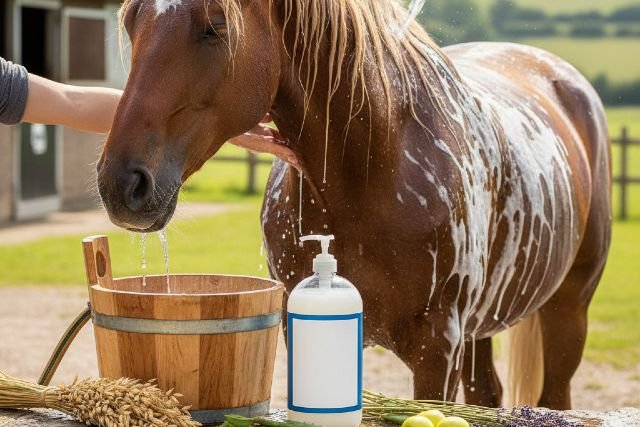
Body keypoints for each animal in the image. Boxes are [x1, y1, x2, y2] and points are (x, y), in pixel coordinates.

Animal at [97, 0, 612, 410]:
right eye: (132, 22)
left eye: (214, 26)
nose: (121, 184)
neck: (374, 173)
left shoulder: (438, 348)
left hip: (568, 312)